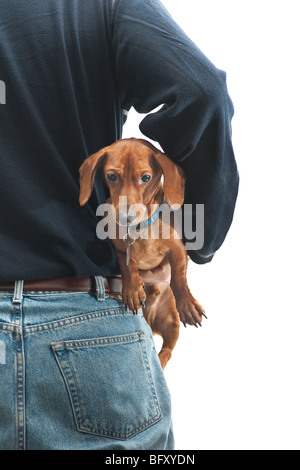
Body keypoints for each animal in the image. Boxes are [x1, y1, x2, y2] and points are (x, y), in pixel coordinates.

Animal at [78, 138, 205, 370]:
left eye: (145, 178)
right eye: (111, 176)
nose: (125, 217)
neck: (140, 229)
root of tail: (151, 322)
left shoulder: (178, 250)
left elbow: (179, 278)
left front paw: (187, 304)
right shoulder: (119, 249)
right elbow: (128, 266)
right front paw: (133, 290)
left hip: (172, 323)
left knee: (166, 351)